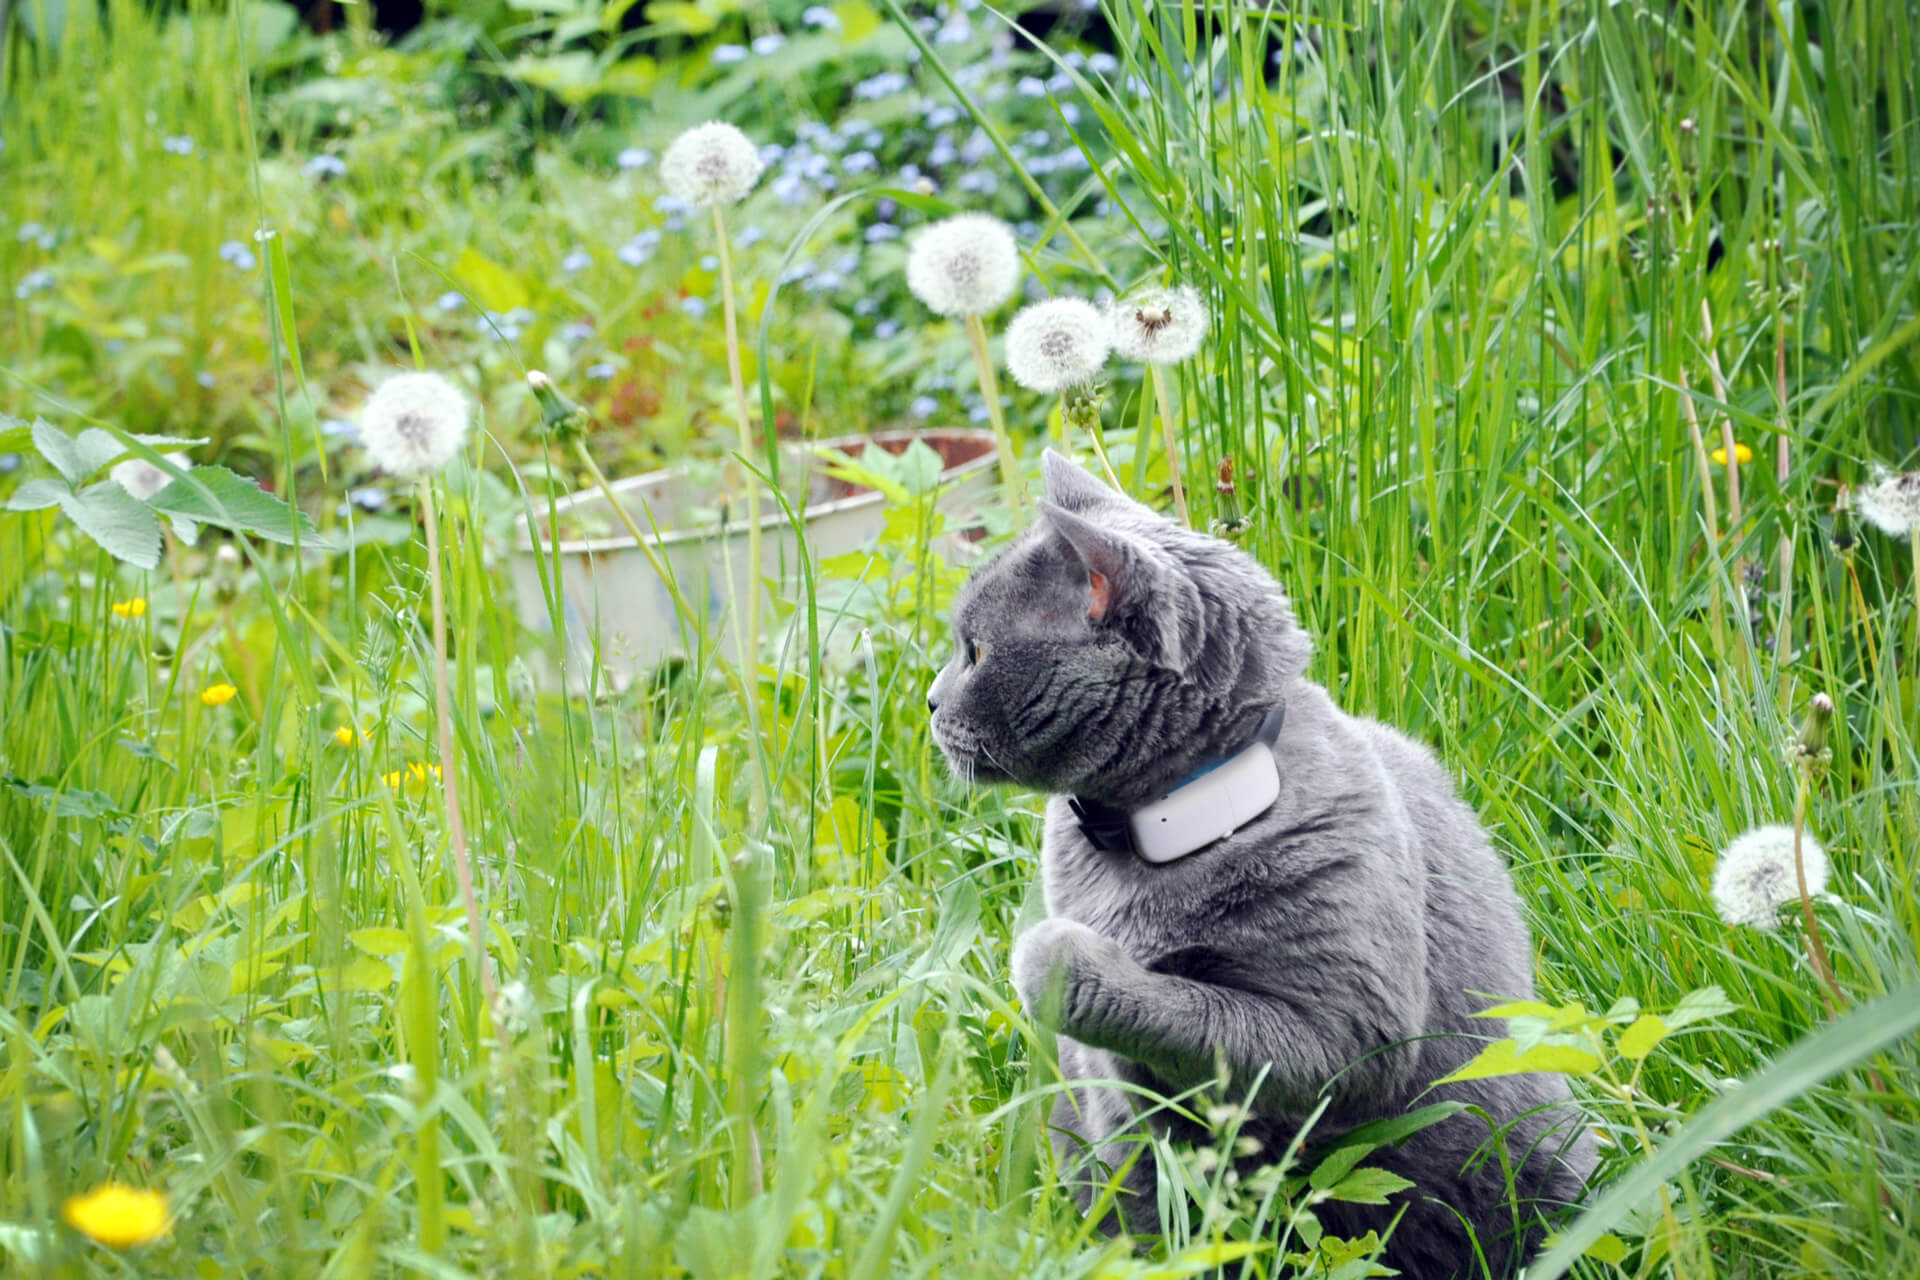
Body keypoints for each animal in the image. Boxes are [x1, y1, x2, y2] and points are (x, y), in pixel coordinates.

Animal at [925, 454, 1589, 1274]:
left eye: (977, 652)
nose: (928, 702)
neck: (1164, 831)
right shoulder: (1113, 1106)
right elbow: (1148, 1179)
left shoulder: (1347, 1030)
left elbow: (1198, 1018)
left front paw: (1056, 957)